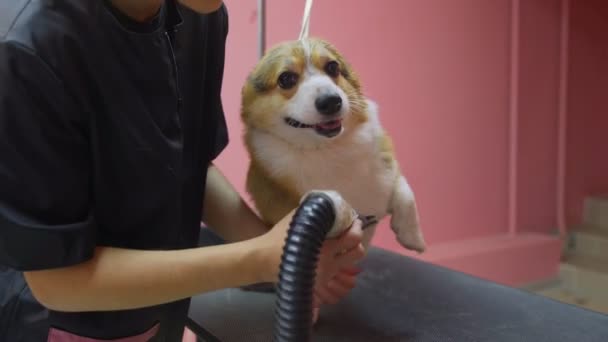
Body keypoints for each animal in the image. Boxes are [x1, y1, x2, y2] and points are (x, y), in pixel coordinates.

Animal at [240, 38, 426, 254]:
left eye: (332, 67)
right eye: (286, 78)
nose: (331, 102)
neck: (328, 148)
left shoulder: (388, 168)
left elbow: (405, 192)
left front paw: (413, 237)